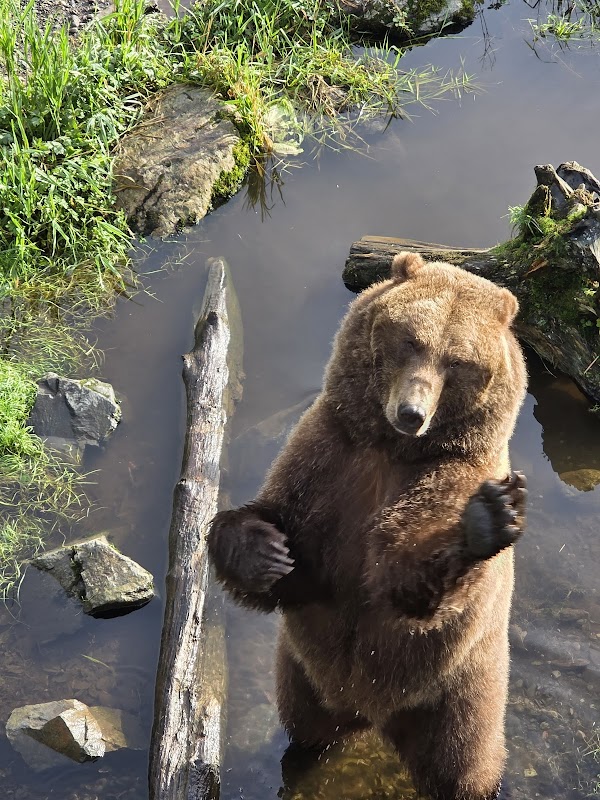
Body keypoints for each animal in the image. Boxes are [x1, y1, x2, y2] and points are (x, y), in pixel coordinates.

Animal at [208, 252, 528, 800]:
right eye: (411, 340)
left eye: (457, 362)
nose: (411, 413)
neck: (391, 450)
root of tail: (370, 715)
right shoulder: (328, 459)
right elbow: (289, 552)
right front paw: (265, 552)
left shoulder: (450, 476)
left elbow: (406, 580)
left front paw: (484, 521)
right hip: (304, 678)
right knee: (308, 730)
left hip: (457, 694)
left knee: (462, 764)